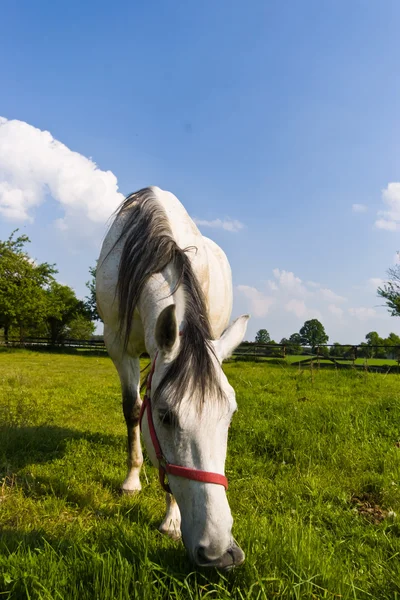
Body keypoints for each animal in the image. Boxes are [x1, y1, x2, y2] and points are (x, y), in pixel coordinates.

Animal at [95, 186, 248, 568]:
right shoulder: (118, 345)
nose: (221, 553)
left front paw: (172, 519)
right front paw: (132, 481)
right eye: (165, 417)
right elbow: (134, 410)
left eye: (230, 416)